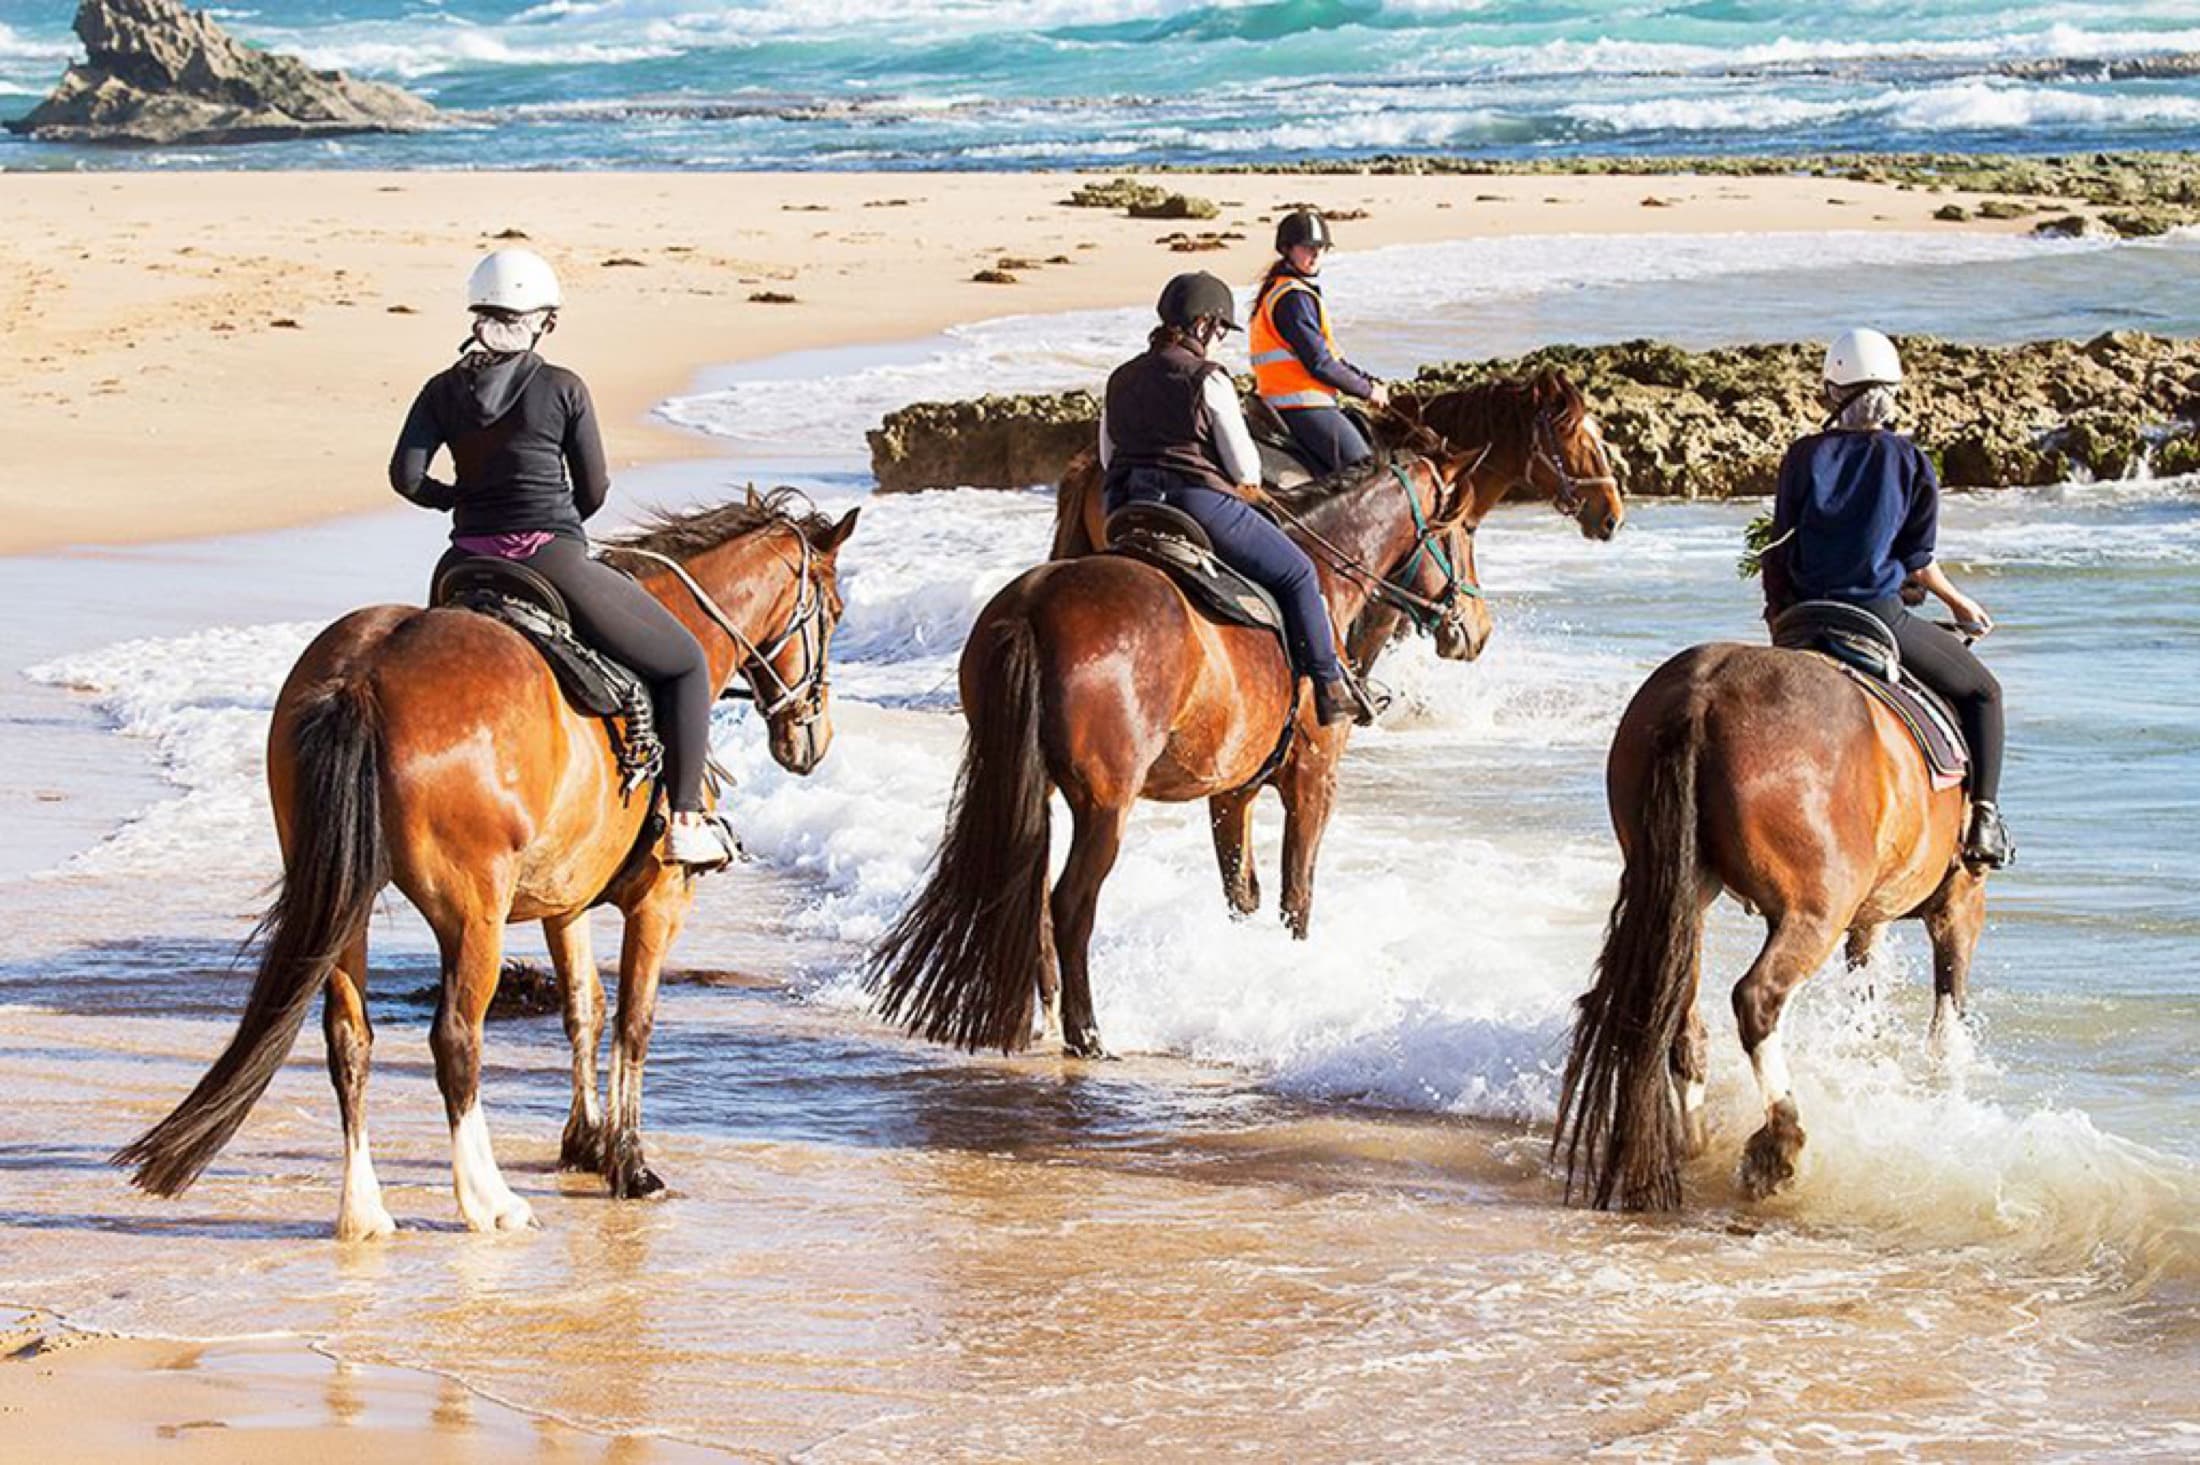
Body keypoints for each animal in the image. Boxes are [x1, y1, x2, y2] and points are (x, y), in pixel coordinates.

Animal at [113, 490, 859, 1238]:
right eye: (834, 609)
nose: (813, 738)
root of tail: (364, 674)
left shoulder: (565, 900)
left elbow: (583, 1008)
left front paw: (585, 1143)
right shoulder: (660, 900)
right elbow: (634, 1024)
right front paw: (630, 1163)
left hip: (343, 901)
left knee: (349, 1037)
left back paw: (364, 1208)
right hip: (474, 913)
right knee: (456, 1039)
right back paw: (486, 1198)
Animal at [868, 448, 1493, 1060]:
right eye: (1464, 532)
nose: (1478, 630)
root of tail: (1033, 608)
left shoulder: (1232, 791)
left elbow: (1241, 894)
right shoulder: (1313, 779)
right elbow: (1296, 897)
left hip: (1027, 783)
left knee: (1029, 889)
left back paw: (1041, 1015)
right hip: (1106, 805)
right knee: (1070, 903)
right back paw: (1087, 1033)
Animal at [1553, 641, 1990, 1211]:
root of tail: (1702, 696)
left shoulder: (1868, 920)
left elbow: (1865, 1009)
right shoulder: (1958, 906)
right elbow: (1946, 1022)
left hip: (1683, 894)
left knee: (1676, 1010)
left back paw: (1693, 1142)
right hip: (1815, 911)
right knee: (1756, 998)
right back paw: (1779, 1145)